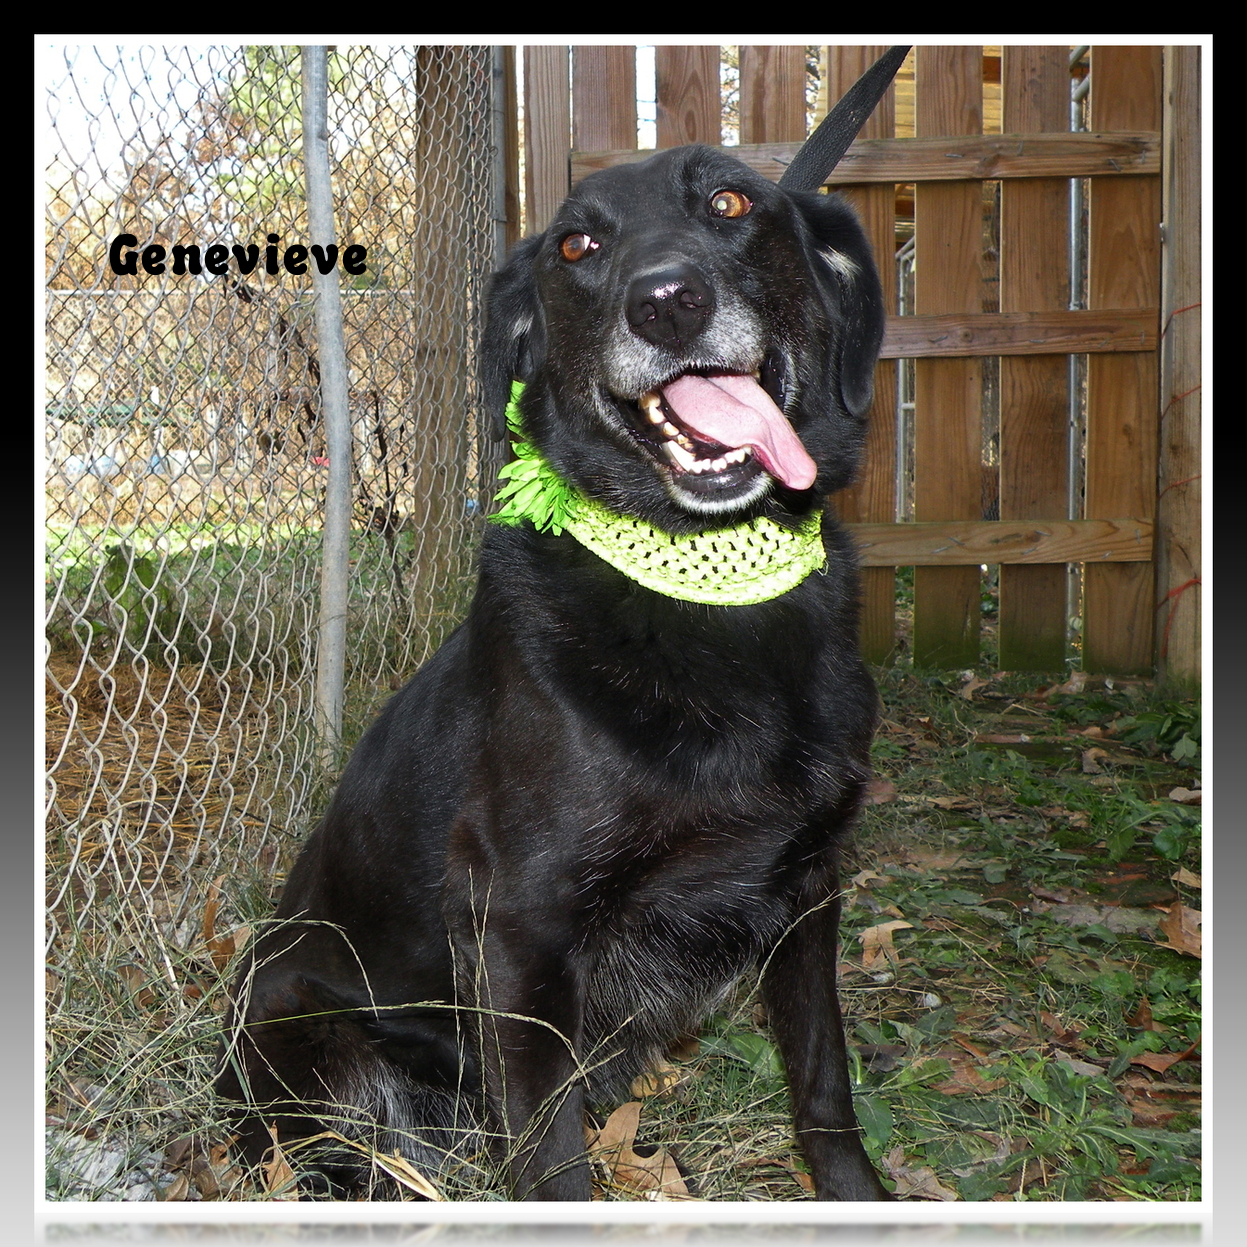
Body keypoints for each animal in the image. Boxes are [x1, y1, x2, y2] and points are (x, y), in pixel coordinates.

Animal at [219, 134, 892, 1197]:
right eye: (577, 245)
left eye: (731, 201)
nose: (665, 302)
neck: (711, 593)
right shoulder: (518, 926)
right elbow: (551, 1163)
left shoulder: (809, 883)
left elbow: (823, 1081)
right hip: (315, 1046)